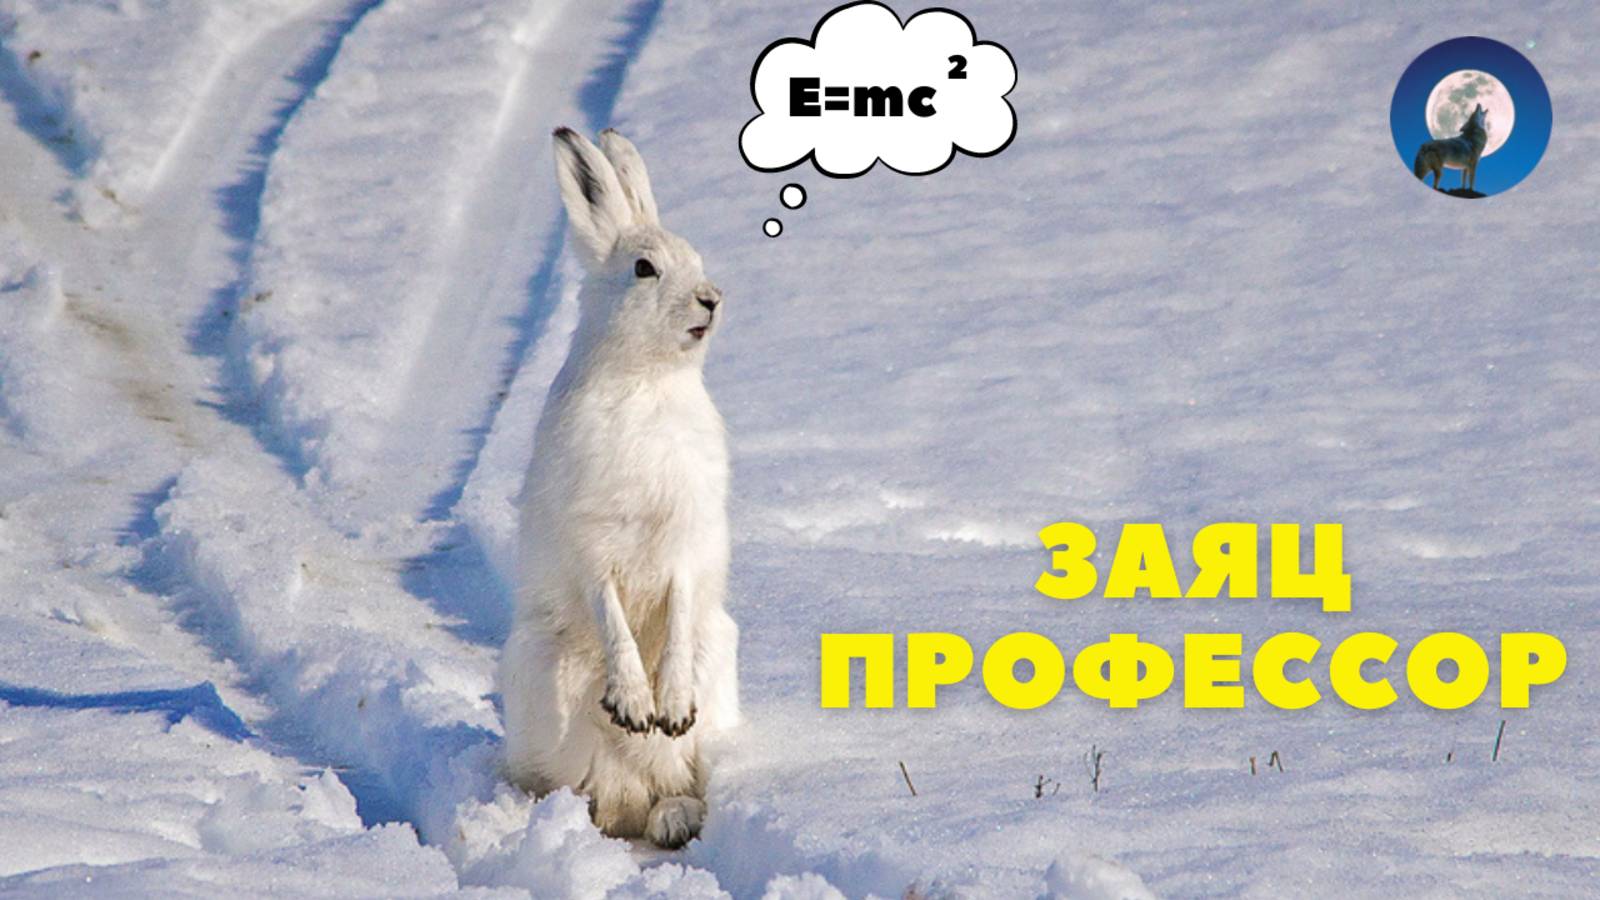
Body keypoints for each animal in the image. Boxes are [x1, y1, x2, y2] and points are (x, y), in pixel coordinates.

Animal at [499, 127, 739, 849]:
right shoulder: (591, 545)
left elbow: (677, 614)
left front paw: (671, 705)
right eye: (644, 269)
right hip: (540, 674)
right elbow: (612, 619)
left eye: (694, 258)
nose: (712, 299)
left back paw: (676, 814)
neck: (648, 380)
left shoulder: (685, 543)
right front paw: (634, 703)